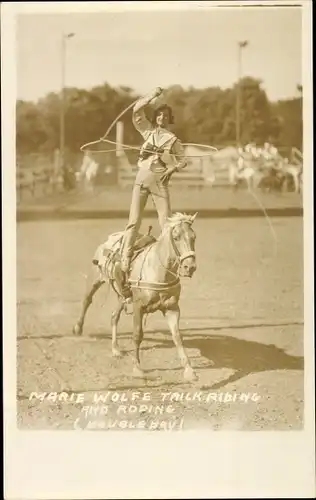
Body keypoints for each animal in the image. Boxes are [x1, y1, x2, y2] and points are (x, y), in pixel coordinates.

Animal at [73, 212, 199, 382]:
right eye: (176, 237)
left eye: (194, 237)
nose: (189, 267)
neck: (158, 270)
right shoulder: (139, 307)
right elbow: (137, 335)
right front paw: (137, 368)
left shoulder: (172, 308)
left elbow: (177, 336)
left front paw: (189, 370)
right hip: (94, 278)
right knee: (87, 300)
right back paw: (78, 328)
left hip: (122, 296)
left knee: (114, 316)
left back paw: (115, 349)